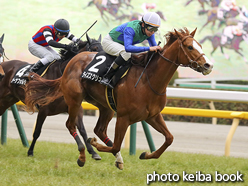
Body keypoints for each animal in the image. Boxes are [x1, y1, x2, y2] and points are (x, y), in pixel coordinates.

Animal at [23, 28, 213, 170]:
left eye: (200, 45)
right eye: (189, 47)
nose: (208, 65)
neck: (149, 80)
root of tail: (72, 61)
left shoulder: (152, 116)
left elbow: (169, 138)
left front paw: (145, 154)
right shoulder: (124, 117)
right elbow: (116, 144)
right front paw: (96, 145)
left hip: (105, 106)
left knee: (99, 129)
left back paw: (113, 157)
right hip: (75, 100)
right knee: (71, 125)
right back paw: (83, 156)